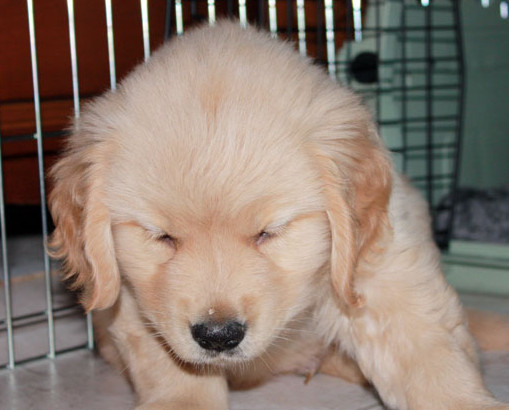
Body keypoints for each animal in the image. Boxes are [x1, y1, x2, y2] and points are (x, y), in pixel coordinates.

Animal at [48, 21, 508, 410]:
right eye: (161, 236)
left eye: (269, 232)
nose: (218, 335)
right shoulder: (132, 301)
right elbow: (173, 370)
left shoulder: (383, 275)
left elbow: (430, 357)